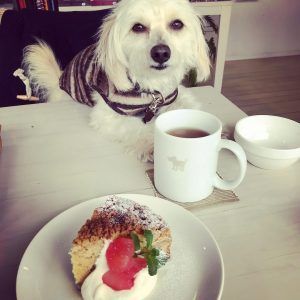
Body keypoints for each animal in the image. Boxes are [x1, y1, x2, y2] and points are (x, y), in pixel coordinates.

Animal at [22, 0, 210, 162]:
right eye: (138, 27)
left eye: (177, 24)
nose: (161, 53)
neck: (149, 87)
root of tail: (60, 78)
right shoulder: (106, 115)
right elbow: (137, 127)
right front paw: (152, 144)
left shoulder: (173, 95)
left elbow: (186, 107)